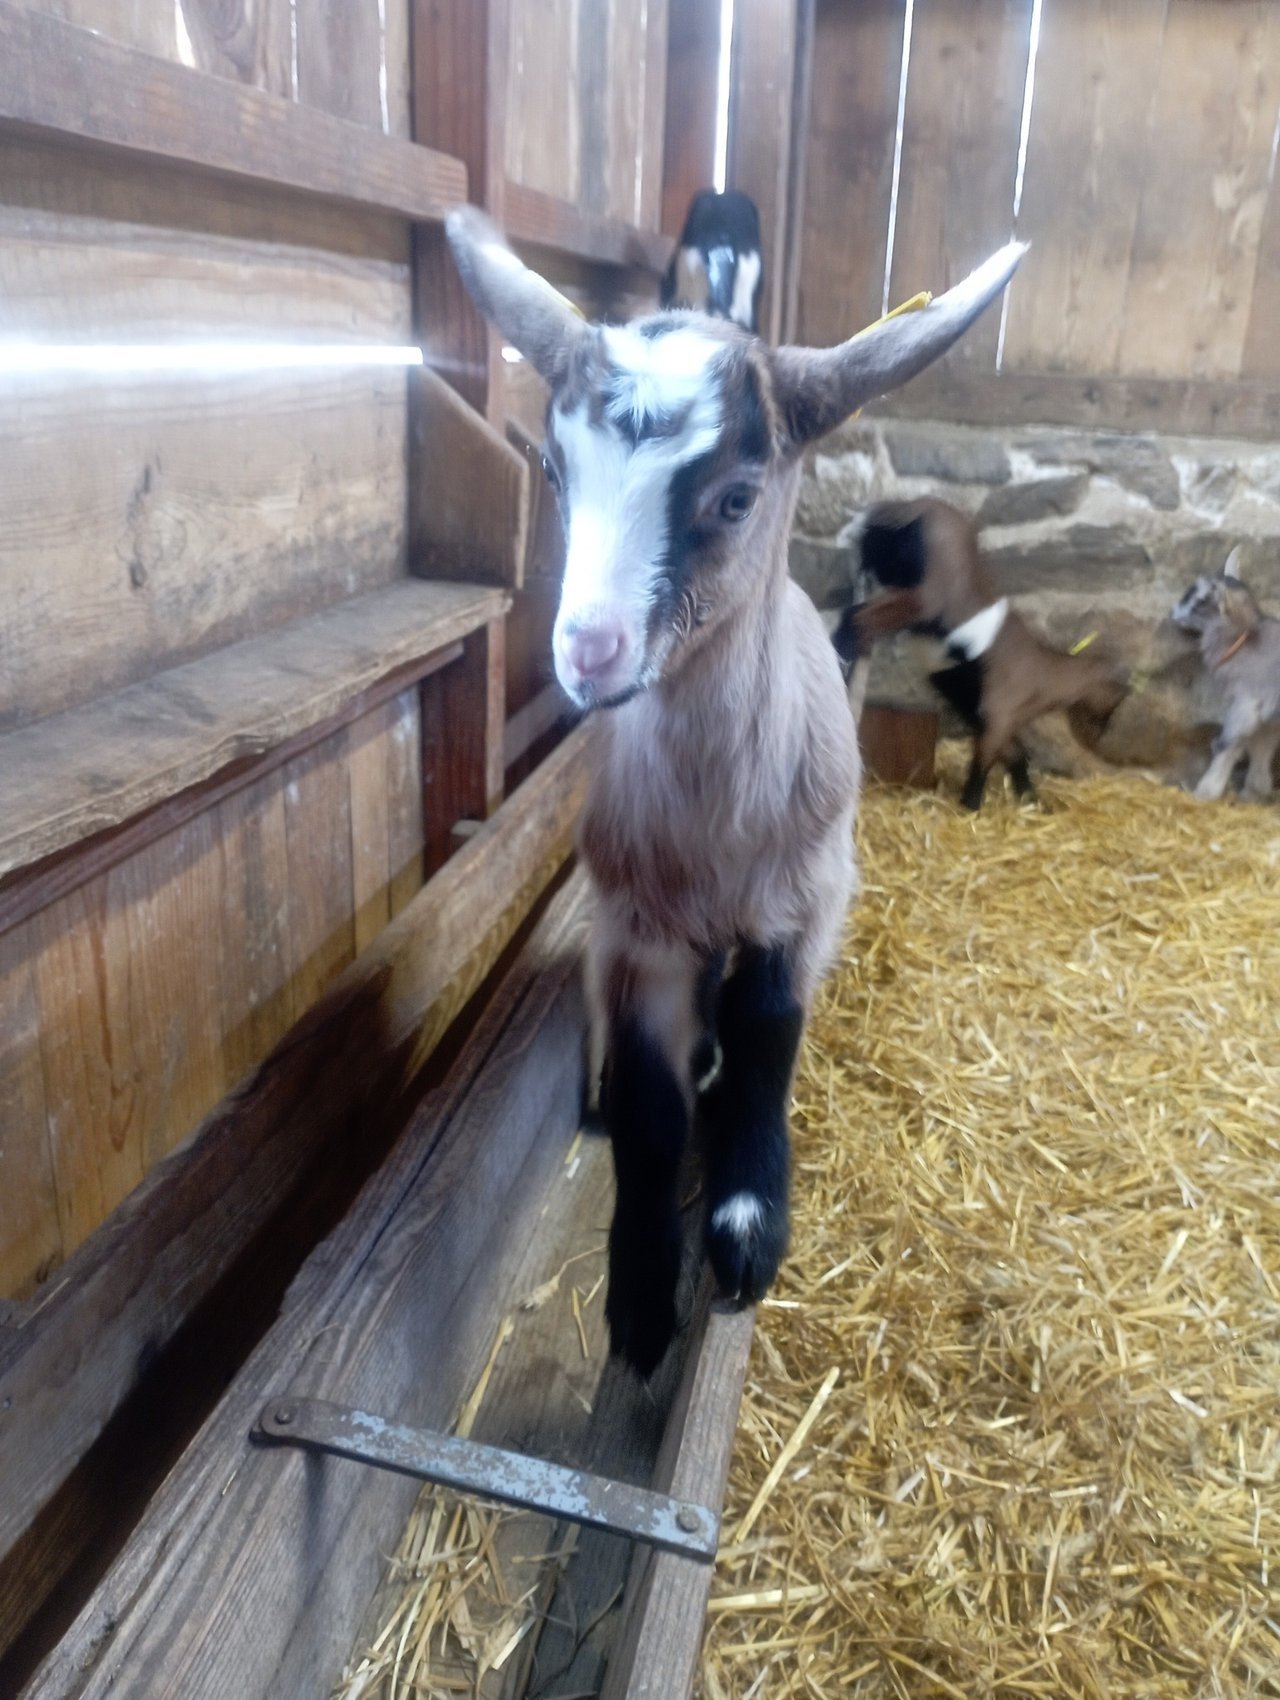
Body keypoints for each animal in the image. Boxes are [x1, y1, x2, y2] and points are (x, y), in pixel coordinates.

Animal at [446, 207, 1023, 1373]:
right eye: (556, 473)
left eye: (736, 495)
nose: (588, 654)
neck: (716, 826)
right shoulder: (637, 932)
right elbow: (649, 1107)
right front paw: (636, 1303)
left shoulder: (804, 902)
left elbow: (768, 1034)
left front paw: (748, 1230)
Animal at [834, 498, 1126, 810]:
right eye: (1120, 693)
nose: (1103, 732)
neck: (1043, 674)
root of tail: (907, 509)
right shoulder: (997, 712)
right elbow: (982, 764)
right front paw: (970, 805)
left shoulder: (987, 717)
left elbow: (1016, 754)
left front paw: (1031, 799)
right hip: (922, 597)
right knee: (859, 618)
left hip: (882, 569)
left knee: (855, 611)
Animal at [1171, 559, 1280, 801]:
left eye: (1201, 601)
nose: (1172, 614)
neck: (1244, 643)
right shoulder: (1267, 715)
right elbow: (1261, 746)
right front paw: (1254, 792)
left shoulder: (1246, 703)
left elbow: (1227, 743)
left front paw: (1205, 792)